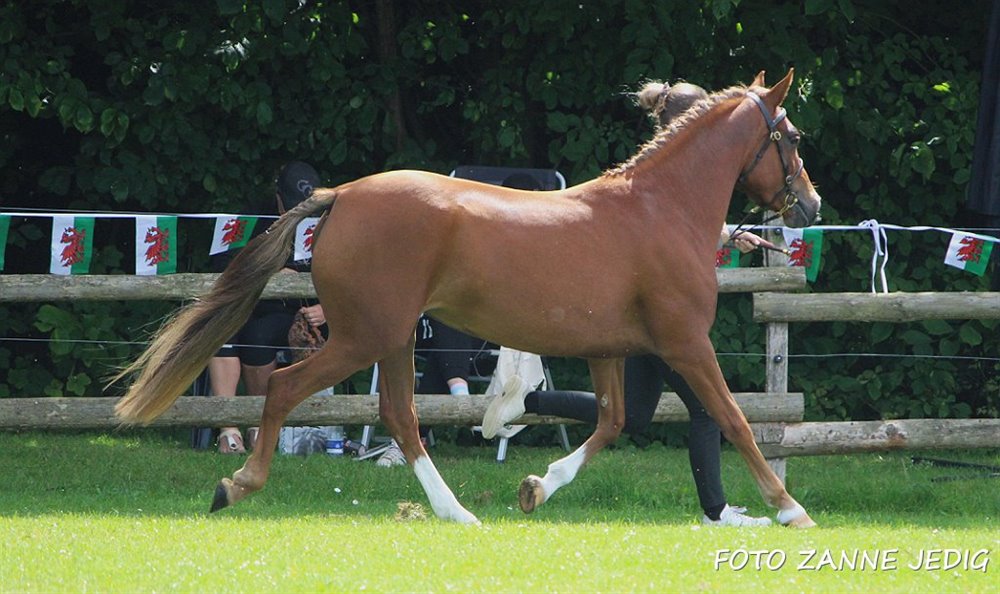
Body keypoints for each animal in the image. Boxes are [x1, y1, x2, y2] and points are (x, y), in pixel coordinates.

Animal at [114, 69, 821, 527]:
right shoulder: (686, 343)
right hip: (366, 336)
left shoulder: (609, 351)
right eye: (791, 137)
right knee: (291, 389)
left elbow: (613, 421)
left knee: (400, 416)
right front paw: (791, 510)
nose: (810, 205)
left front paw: (536, 486)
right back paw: (236, 487)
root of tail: (341, 196)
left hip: (393, 338)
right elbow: (731, 419)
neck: (660, 209)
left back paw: (457, 508)